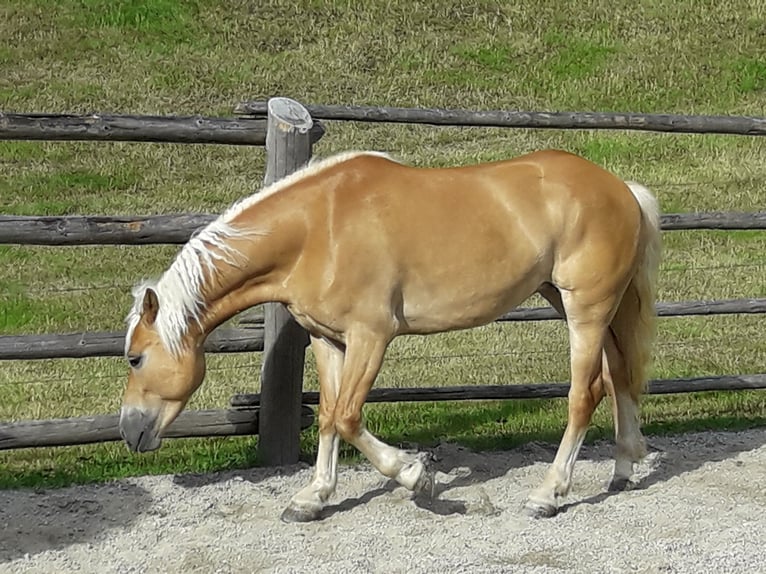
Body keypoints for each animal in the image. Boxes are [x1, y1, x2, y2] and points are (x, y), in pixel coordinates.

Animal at [123, 147, 664, 520]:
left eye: (134, 358)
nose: (130, 431)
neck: (317, 229)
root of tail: (621, 188)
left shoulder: (371, 336)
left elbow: (347, 417)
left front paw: (415, 475)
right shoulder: (327, 339)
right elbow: (327, 417)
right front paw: (313, 498)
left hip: (585, 309)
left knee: (585, 394)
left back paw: (548, 494)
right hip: (580, 303)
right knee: (619, 376)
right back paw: (623, 468)